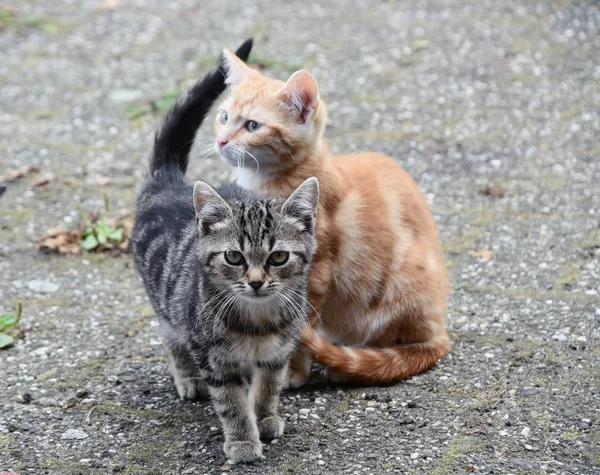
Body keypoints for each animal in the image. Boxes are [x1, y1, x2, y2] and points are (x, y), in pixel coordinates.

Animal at [131, 42, 318, 462]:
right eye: (234, 257)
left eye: (278, 257)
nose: (256, 282)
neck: (258, 322)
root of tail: (169, 182)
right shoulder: (213, 356)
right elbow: (231, 402)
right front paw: (243, 440)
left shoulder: (278, 352)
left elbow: (268, 387)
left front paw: (265, 418)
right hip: (166, 302)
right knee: (171, 337)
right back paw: (187, 378)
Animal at [212, 46, 450, 388]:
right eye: (224, 117)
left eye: (253, 126)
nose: (221, 141)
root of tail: (440, 332)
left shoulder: (316, 273)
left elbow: (297, 331)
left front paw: (291, 373)